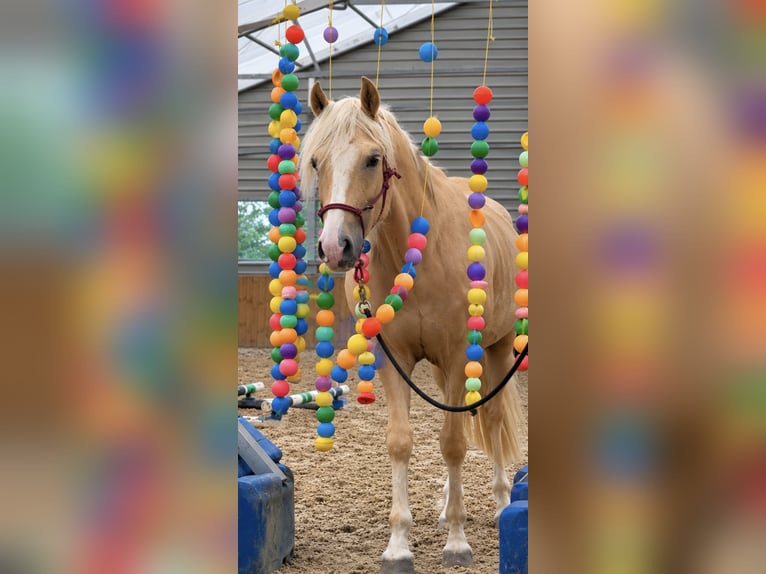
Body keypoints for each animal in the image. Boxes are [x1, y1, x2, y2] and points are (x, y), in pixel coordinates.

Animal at [299, 76, 523, 572]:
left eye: (372, 158)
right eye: (316, 161)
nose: (335, 247)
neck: (415, 252)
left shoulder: (460, 354)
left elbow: (454, 443)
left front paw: (457, 541)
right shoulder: (395, 359)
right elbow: (402, 442)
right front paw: (399, 544)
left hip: (496, 349)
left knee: (493, 419)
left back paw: (501, 503)